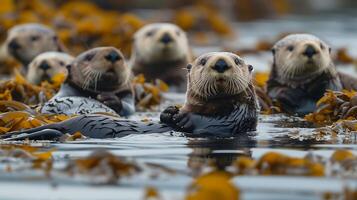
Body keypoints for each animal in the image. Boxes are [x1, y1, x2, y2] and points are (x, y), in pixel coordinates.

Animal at [2, 51, 258, 140]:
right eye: (203, 61)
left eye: (237, 60)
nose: (221, 63)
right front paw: (170, 113)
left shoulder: (231, 119)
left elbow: (207, 122)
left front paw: (182, 118)